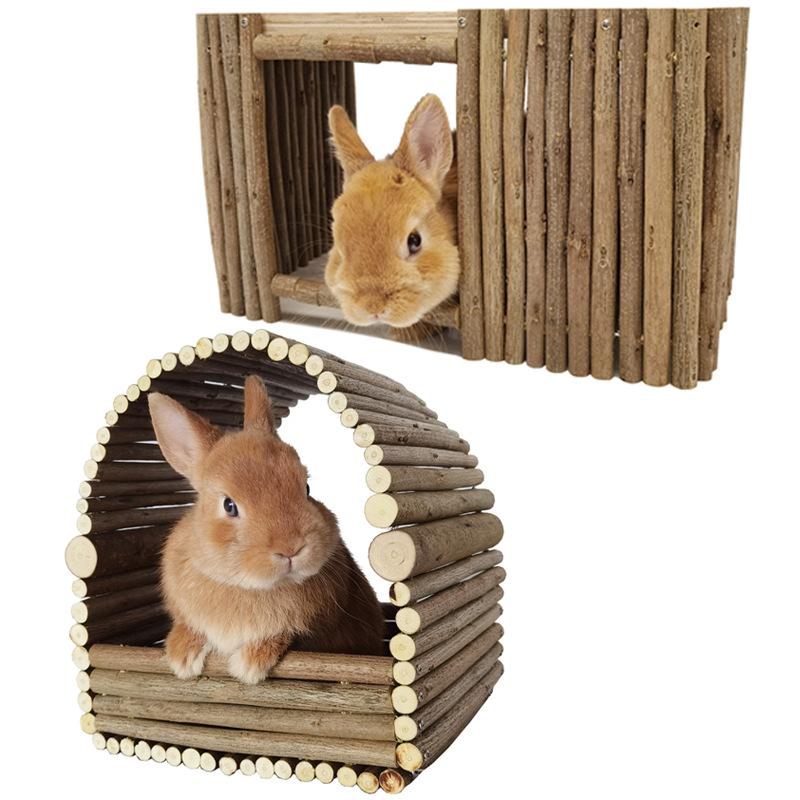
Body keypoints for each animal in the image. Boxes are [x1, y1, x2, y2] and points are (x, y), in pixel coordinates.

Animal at [147, 375, 385, 684]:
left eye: (307, 488)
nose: (291, 548)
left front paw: (250, 665)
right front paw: (181, 657)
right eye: (229, 505)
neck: (247, 585)